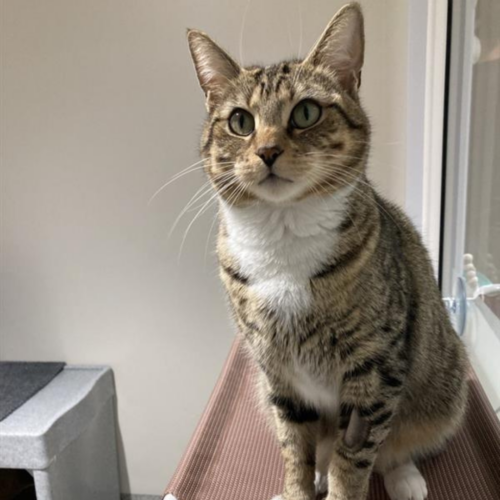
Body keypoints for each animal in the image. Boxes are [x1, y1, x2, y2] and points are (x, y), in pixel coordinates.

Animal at [186, 3, 466, 500]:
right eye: (240, 121)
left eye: (306, 112)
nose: (268, 150)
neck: (283, 240)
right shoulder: (277, 374)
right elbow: (295, 447)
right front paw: (298, 486)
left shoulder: (374, 370)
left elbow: (353, 459)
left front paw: (342, 481)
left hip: (442, 388)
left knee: (395, 446)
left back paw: (404, 476)